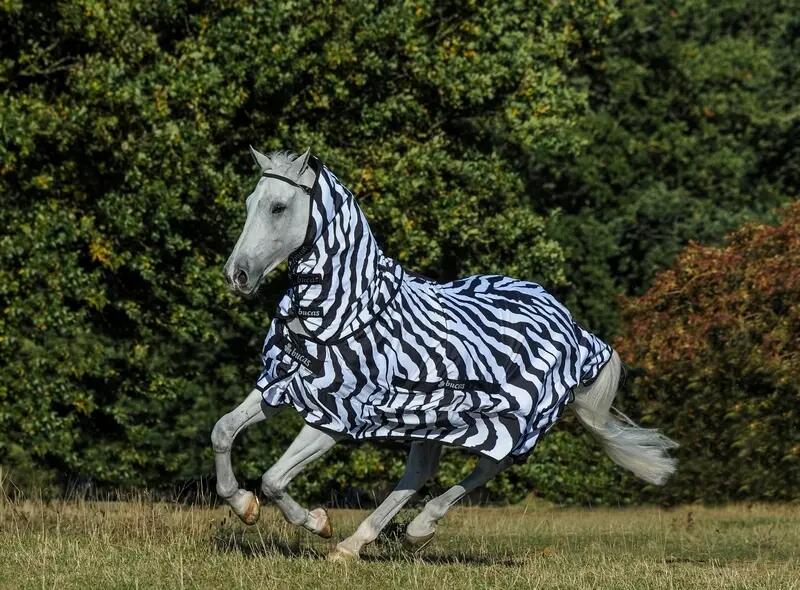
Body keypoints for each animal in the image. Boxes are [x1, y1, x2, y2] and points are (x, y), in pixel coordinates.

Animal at [212, 148, 677, 560]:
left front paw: (317, 522)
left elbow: (274, 479)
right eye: (250, 203)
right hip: (429, 418)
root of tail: (573, 327)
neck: (344, 309)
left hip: (509, 420)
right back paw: (354, 545)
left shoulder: (338, 414)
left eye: (278, 207)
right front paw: (243, 506)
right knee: (418, 474)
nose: (237, 275)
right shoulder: (284, 383)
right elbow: (223, 431)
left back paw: (413, 530)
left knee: (487, 467)